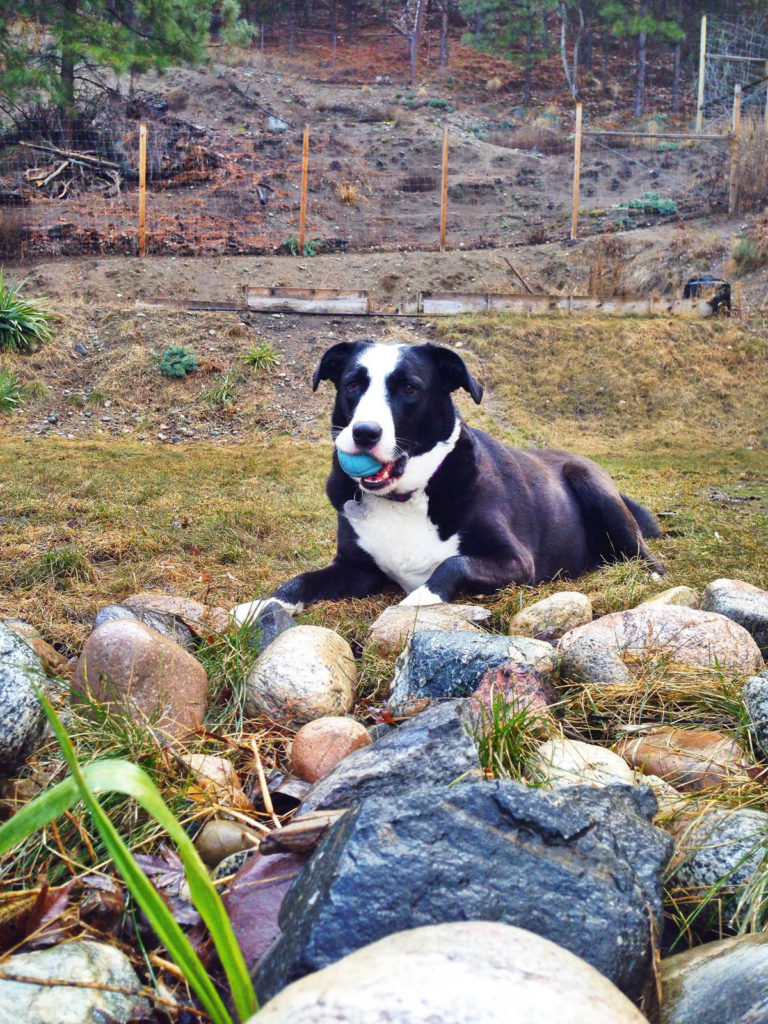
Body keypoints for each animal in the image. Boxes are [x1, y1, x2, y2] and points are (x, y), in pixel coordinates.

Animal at [231, 339, 663, 618]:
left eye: (409, 388)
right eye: (353, 384)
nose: (364, 433)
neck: (408, 496)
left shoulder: (516, 562)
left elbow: (454, 564)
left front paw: (419, 599)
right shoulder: (356, 569)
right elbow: (301, 580)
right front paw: (263, 604)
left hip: (592, 484)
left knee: (642, 554)